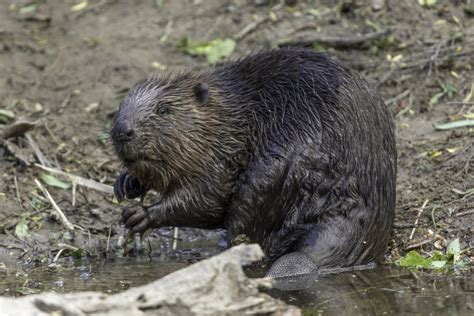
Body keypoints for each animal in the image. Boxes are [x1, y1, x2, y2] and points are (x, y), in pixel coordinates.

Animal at [111, 47, 396, 276]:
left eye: (163, 110)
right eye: (120, 106)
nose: (122, 131)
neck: (233, 115)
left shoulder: (224, 155)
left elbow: (208, 199)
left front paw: (139, 215)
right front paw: (125, 183)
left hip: (274, 173)